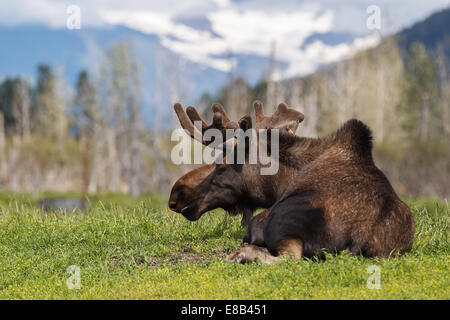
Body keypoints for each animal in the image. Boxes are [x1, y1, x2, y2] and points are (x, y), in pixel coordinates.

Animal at [169, 101, 414, 264]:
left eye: (222, 162)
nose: (175, 195)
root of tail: (358, 241)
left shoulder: (261, 220)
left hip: (280, 224)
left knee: (288, 258)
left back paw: (241, 255)